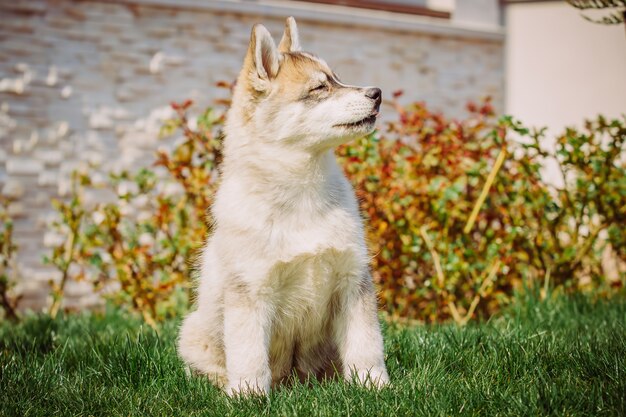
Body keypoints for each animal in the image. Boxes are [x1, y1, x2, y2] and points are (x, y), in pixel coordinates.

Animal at [177, 16, 390, 394]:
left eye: (336, 78)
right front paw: (248, 394)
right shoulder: (250, 290)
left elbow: (366, 342)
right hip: (191, 333)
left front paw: (373, 384)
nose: (377, 92)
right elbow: (248, 353)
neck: (303, 194)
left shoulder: (353, 279)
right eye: (319, 88)